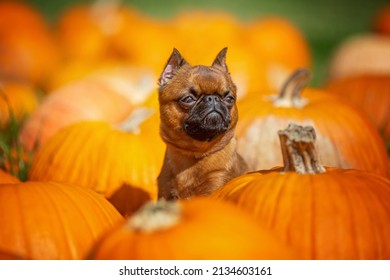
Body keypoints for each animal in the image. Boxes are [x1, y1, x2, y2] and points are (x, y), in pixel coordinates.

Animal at [155, 48, 247, 200]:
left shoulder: (215, 183)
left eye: (229, 98)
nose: (213, 98)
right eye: (188, 99)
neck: (194, 153)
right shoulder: (165, 192)